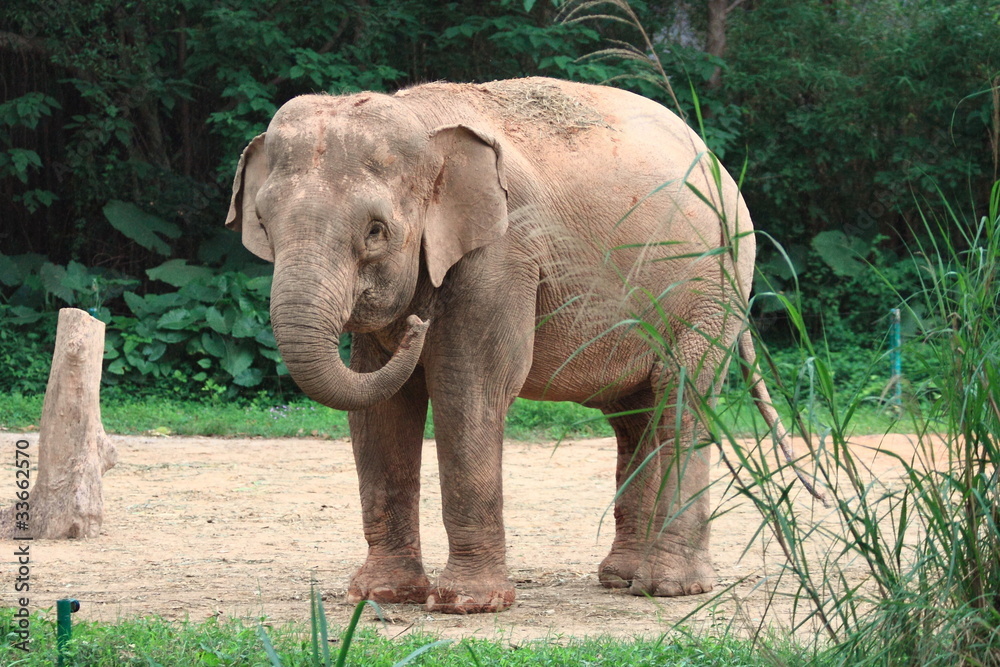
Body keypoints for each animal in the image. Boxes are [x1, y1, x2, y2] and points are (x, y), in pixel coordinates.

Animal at [225, 76, 795, 614]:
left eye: (375, 232)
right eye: (265, 226)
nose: (417, 325)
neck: (426, 126)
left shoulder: (503, 250)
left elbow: (470, 386)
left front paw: (466, 604)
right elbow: (382, 407)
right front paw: (378, 596)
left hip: (711, 290)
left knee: (682, 400)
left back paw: (669, 588)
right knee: (636, 416)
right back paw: (621, 579)